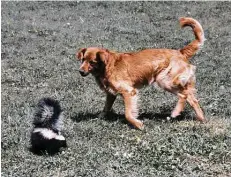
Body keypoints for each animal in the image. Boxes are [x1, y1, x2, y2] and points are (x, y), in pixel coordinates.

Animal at [76, 17, 207, 129]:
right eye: (83, 60)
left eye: (92, 62)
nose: (80, 71)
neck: (107, 66)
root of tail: (180, 52)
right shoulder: (111, 93)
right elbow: (106, 108)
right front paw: (99, 117)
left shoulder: (129, 91)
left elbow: (128, 114)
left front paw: (138, 124)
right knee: (192, 99)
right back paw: (201, 119)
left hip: (164, 80)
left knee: (183, 96)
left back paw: (175, 113)